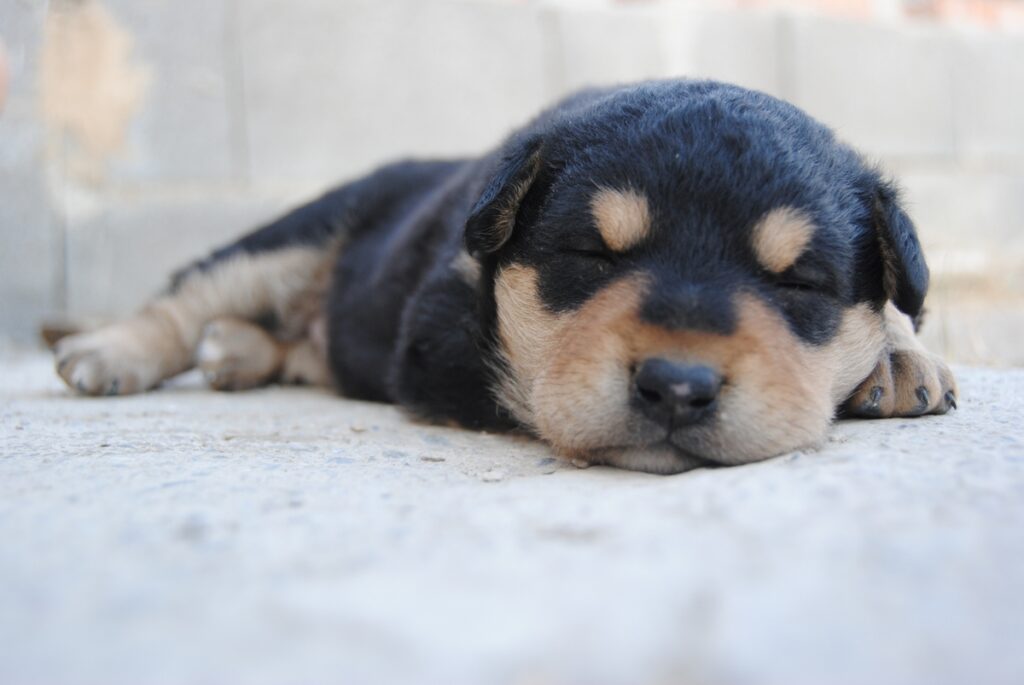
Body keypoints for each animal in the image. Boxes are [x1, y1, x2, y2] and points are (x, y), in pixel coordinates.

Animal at [51, 80, 954, 473]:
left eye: (799, 282)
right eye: (592, 256)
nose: (677, 387)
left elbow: (900, 305)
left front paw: (898, 353)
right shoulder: (442, 333)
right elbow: (534, 378)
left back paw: (233, 353)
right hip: (295, 234)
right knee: (191, 293)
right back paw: (108, 353)